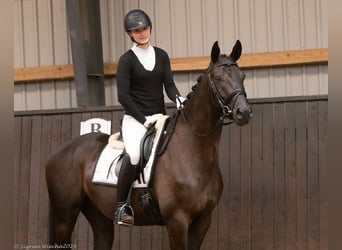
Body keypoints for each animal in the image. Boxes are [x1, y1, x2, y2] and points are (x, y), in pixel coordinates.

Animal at [45, 40, 251, 249]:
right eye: (217, 77)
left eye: (242, 76)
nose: (243, 112)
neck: (194, 151)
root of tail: (60, 151)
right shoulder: (177, 220)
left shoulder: (203, 220)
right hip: (65, 216)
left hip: (99, 216)